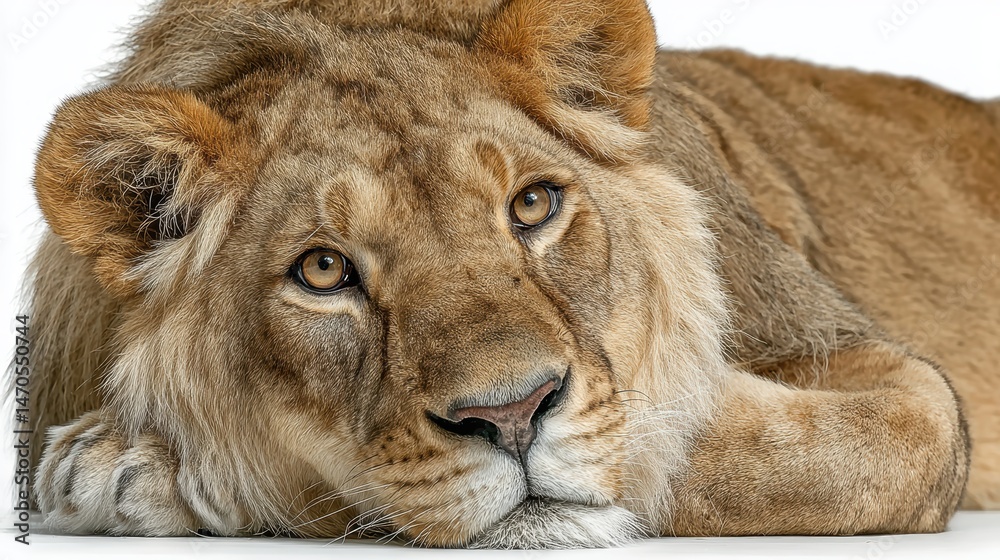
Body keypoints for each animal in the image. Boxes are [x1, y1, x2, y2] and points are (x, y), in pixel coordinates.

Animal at [18, 0, 997, 548]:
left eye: (532, 206)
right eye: (324, 270)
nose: (513, 415)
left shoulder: (864, 363)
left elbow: (704, 440)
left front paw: (157, 466)